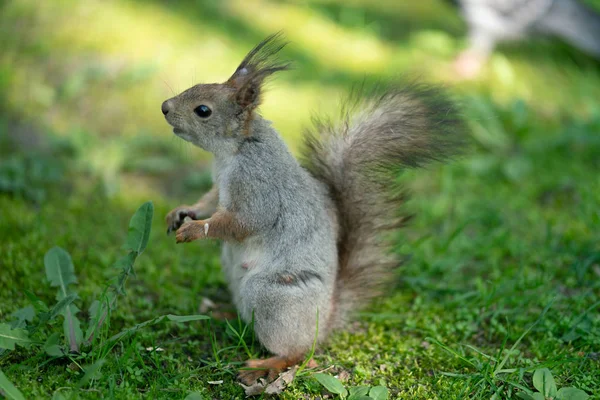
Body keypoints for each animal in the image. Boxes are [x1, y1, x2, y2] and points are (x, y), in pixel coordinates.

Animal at [159, 33, 464, 384]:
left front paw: (195, 229)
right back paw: (224, 313)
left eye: (203, 110)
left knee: (299, 352)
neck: (235, 150)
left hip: (274, 297)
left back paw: (266, 364)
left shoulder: (260, 187)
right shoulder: (219, 185)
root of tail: (325, 321)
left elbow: (241, 222)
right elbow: (209, 200)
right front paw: (182, 212)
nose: (164, 107)